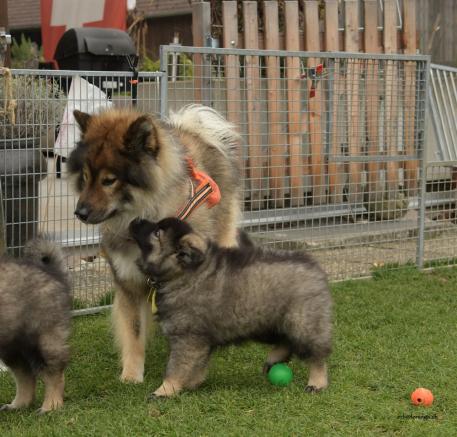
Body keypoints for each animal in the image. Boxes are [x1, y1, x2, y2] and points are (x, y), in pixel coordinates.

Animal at [67, 104, 242, 382]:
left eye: (109, 180)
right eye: (85, 177)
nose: (80, 213)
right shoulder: (129, 282)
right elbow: (134, 331)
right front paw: (131, 374)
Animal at [128, 216, 332, 396]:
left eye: (157, 233)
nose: (136, 220)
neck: (182, 274)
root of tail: (315, 268)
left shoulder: (187, 338)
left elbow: (176, 367)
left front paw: (165, 390)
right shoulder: (197, 340)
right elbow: (197, 365)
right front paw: (192, 383)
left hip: (304, 322)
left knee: (316, 354)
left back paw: (317, 382)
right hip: (266, 322)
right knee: (286, 340)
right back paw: (274, 359)